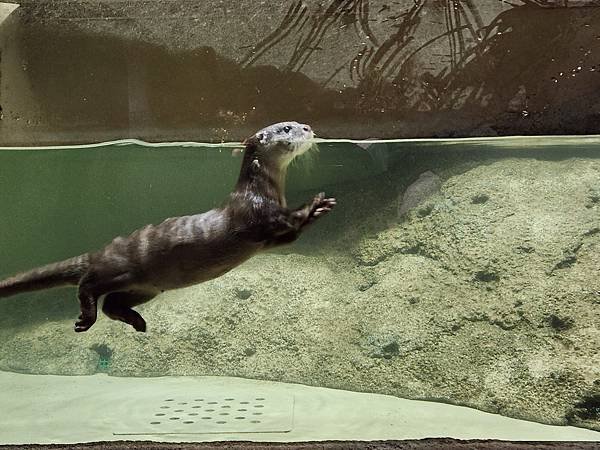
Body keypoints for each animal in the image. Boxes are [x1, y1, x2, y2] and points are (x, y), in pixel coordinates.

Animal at [0, 121, 338, 332]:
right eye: (286, 128)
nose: (308, 128)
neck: (261, 189)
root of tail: (99, 252)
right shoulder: (257, 214)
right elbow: (285, 219)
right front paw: (314, 202)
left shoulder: (268, 238)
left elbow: (289, 237)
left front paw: (319, 209)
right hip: (119, 269)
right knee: (88, 284)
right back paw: (86, 318)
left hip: (144, 288)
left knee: (112, 304)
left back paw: (137, 322)